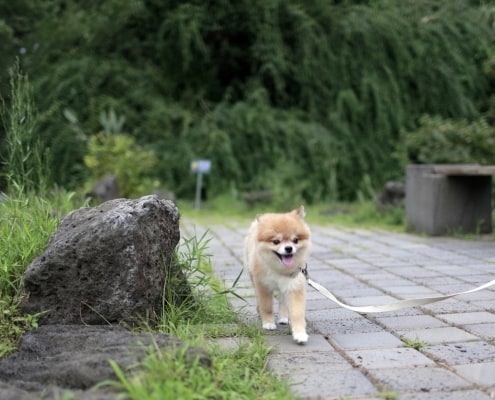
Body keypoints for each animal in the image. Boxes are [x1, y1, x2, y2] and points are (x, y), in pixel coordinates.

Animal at [245, 206, 312, 344]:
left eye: (295, 240)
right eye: (276, 241)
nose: (289, 248)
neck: (279, 269)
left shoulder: (294, 286)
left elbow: (297, 312)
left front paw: (300, 334)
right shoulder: (262, 285)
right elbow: (266, 306)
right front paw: (268, 323)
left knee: (283, 301)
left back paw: (284, 317)